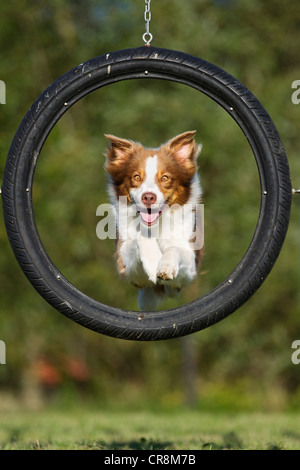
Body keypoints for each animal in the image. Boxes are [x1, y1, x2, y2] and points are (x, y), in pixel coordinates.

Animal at [103, 130, 204, 310]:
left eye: (165, 178)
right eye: (136, 177)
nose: (148, 197)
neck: (156, 224)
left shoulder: (189, 269)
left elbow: (175, 249)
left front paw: (165, 265)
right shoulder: (127, 268)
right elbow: (139, 238)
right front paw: (153, 262)